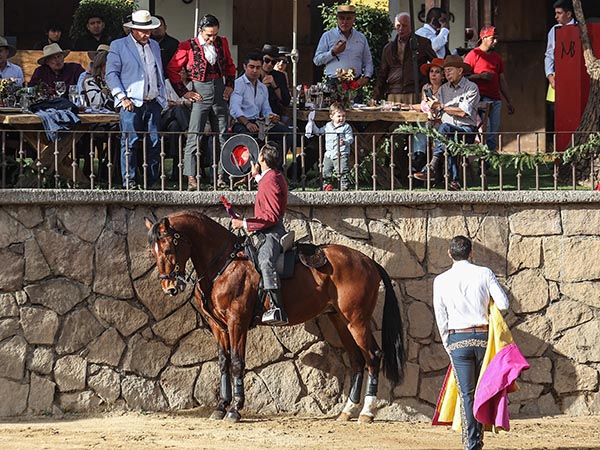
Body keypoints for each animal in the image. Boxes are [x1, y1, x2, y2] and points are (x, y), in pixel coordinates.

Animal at [146, 210, 408, 422]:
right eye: (153, 252)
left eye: (168, 249)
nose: (169, 288)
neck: (224, 264)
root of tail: (368, 261)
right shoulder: (218, 326)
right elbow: (223, 362)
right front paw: (221, 407)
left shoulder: (236, 322)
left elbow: (237, 362)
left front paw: (235, 409)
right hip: (341, 321)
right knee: (357, 360)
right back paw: (348, 411)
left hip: (357, 321)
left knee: (373, 357)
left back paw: (367, 412)